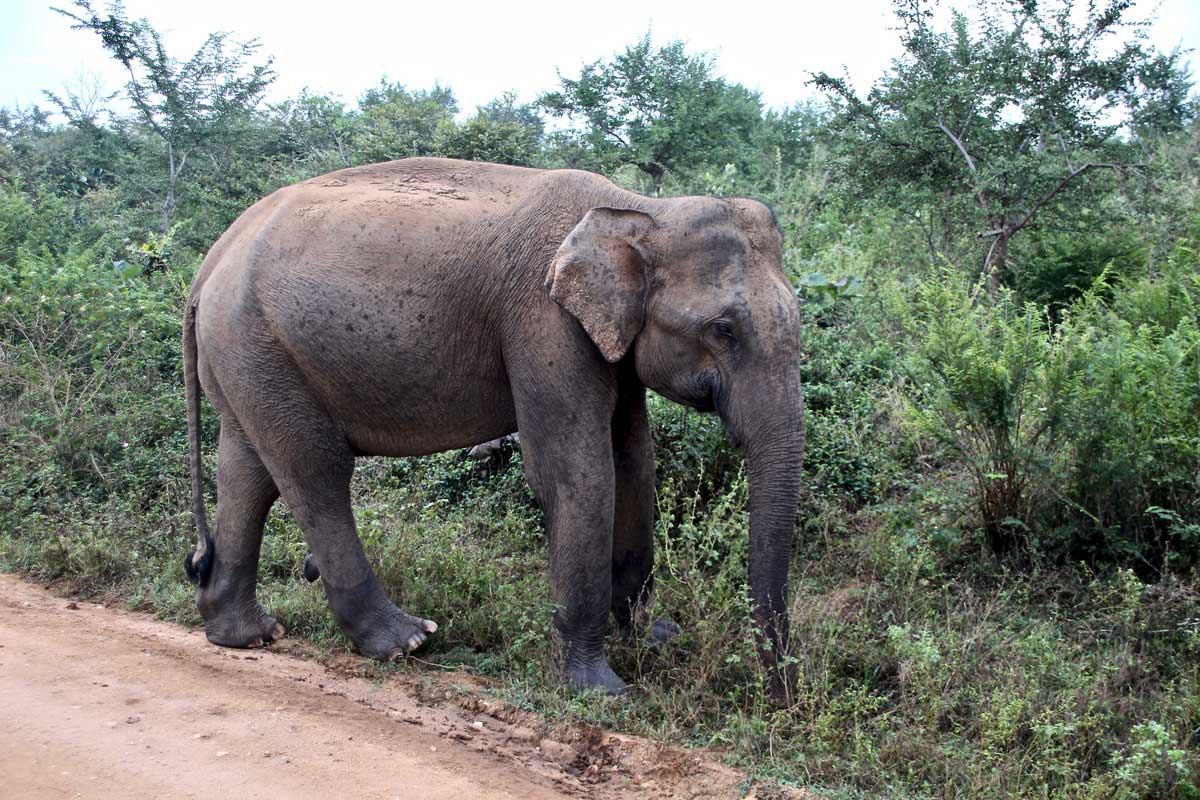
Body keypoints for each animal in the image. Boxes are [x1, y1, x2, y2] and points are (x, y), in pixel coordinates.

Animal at [184, 154, 806, 695]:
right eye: (724, 330)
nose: (779, 694)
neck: (638, 210)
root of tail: (210, 262)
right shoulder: (542, 322)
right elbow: (576, 473)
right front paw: (602, 690)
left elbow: (634, 461)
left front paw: (651, 640)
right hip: (255, 340)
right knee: (314, 468)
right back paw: (406, 641)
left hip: (247, 354)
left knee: (248, 470)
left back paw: (245, 635)